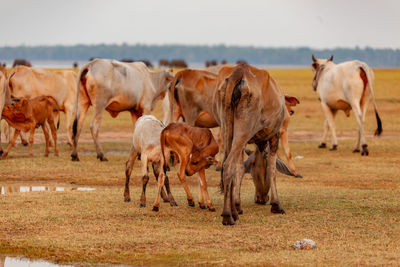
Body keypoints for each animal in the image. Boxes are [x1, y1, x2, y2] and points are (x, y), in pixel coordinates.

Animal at [212, 63, 288, 225]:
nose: (261, 198)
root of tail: (239, 72)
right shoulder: (275, 135)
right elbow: (272, 169)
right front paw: (276, 205)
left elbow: (240, 169)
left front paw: (237, 207)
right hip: (244, 129)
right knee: (228, 165)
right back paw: (227, 216)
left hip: (227, 127)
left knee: (229, 164)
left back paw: (233, 212)